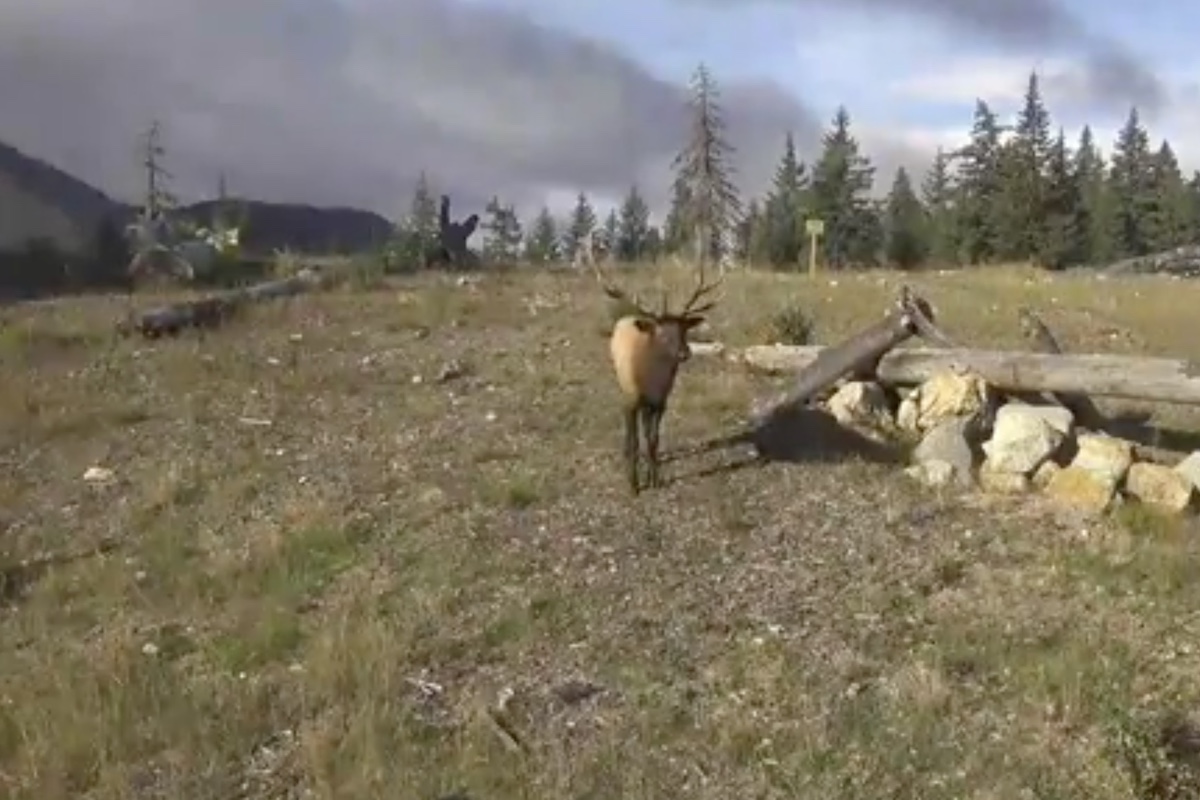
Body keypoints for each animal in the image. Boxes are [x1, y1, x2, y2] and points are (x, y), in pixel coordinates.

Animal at [585, 233, 723, 493]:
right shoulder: (629, 400)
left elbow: (653, 439)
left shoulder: (661, 402)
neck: (650, 381)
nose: (685, 353)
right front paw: (633, 485)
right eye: (661, 333)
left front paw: (655, 479)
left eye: (684, 329)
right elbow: (633, 440)